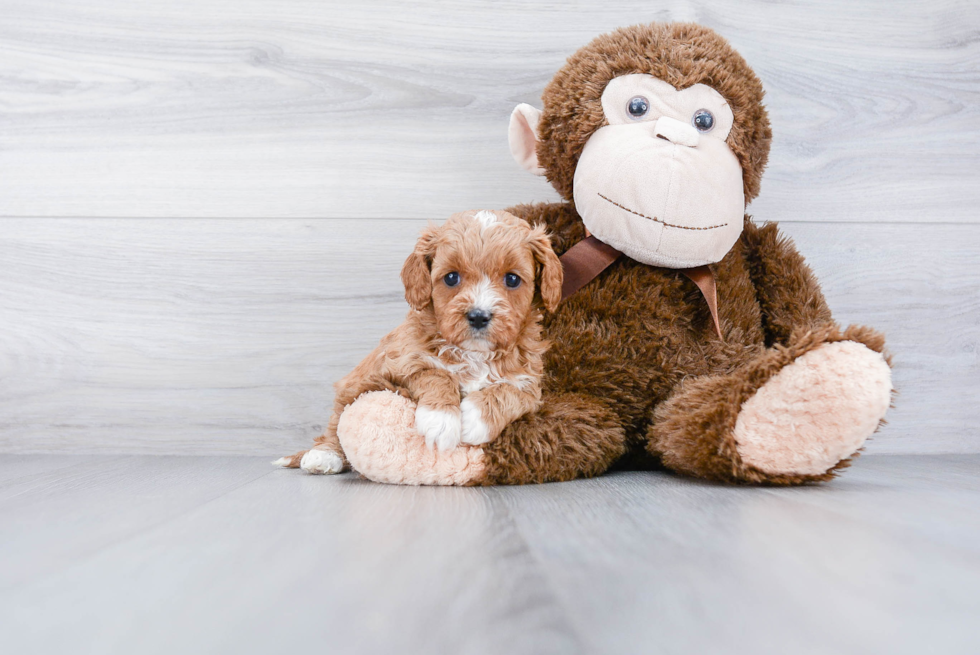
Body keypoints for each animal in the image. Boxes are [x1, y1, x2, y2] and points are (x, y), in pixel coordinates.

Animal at [280, 213, 564, 474]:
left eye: (512, 279)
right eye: (451, 278)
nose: (478, 316)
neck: (475, 354)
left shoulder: (529, 385)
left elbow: (510, 392)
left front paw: (475, 417)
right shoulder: (397, 365)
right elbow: (435, 373)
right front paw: (441, 421)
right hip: (350, 389)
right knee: (334, 425)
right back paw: (323, 456)